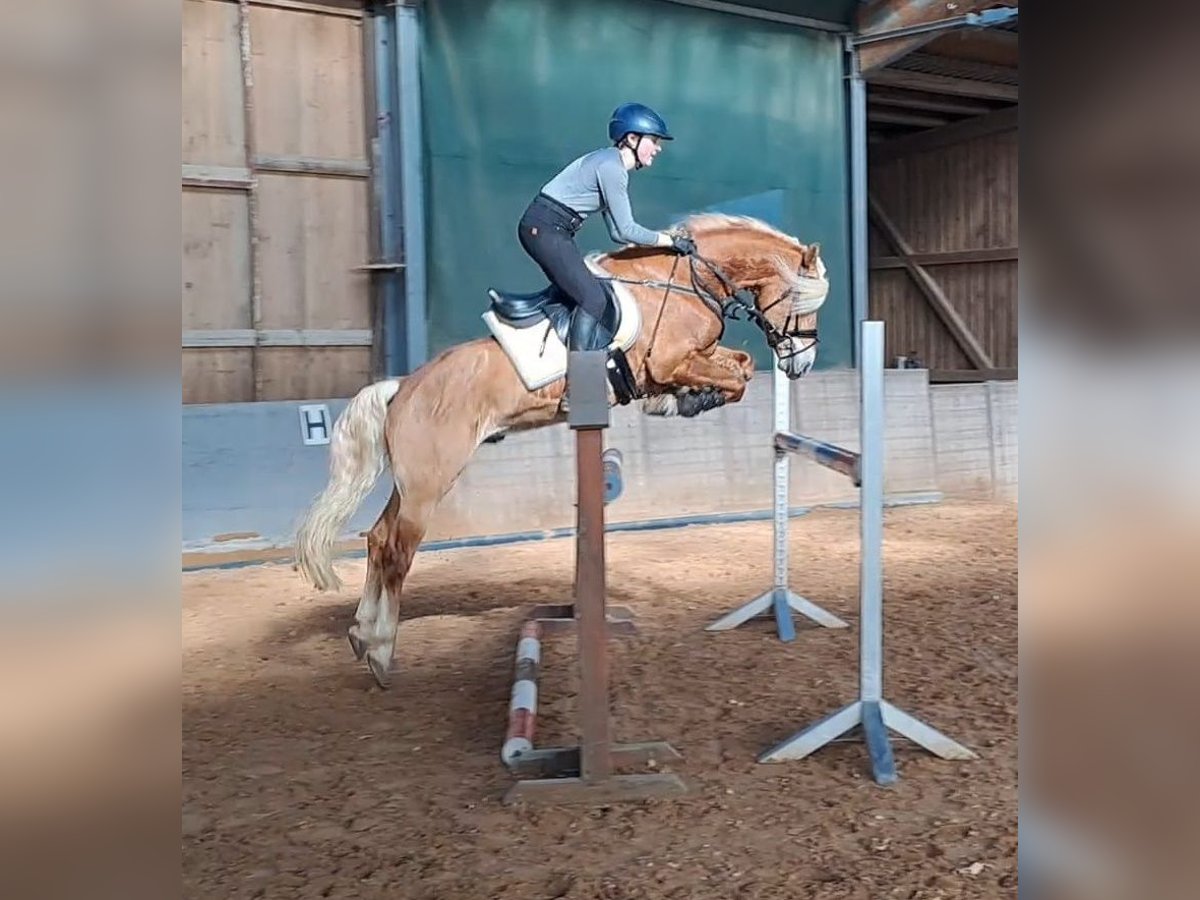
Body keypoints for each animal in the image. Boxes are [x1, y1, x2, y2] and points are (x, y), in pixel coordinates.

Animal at [295, 213, 830, 691]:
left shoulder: (692, 359)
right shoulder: (670, 360)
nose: (801, 365)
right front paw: (688, 399)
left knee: (378, 539)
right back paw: (381, 650)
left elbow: (741, 365)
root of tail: (403, 388)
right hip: (430, 484)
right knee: (398, 553)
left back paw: (361, 635)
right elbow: (735, 376)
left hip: (411, 484)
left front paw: (686, 399)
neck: (683, 281)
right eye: (803, 301)